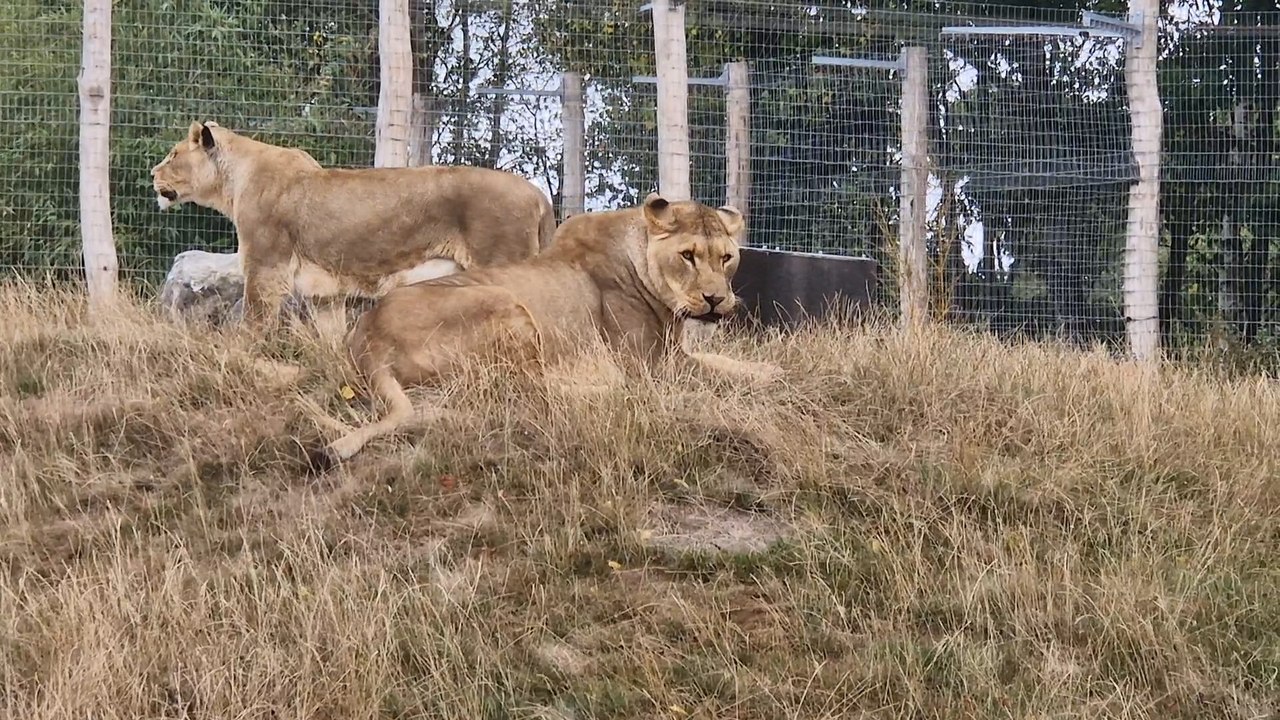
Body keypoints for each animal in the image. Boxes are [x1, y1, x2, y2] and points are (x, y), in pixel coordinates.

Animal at [150, 121, 557, 326]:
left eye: (172, 154)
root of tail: (539, 194)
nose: (152, 172)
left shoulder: (266, 270)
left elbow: (253, 323)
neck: (234, 181)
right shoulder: (325, 295)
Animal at [309, 192, 783, 469]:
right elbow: (717, 371)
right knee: (528, 396)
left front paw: (770, 371)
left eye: (726, 258)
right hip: (506, 304)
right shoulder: (650, 365)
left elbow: (721, 359)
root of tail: (366, 339)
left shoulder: (670, 352)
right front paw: (768, 378)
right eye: (687, 255)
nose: (715, 300)